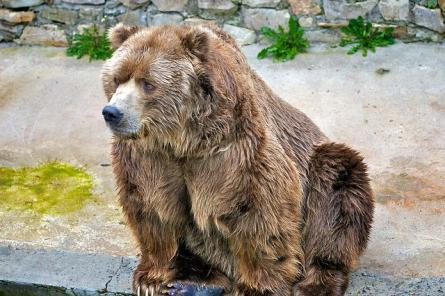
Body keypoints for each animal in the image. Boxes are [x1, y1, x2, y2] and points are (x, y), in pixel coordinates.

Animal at [101, 23, 374, 296]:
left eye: (147, 83)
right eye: (116, 78)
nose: (112, 112)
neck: (182, 139)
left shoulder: (234, 149)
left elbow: (258, 210)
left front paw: (257, 288)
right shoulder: (149, 156)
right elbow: (153, 208)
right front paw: (151, 279)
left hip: (320, 166)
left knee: (337, 195)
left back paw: (317, 283)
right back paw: (194, 280)